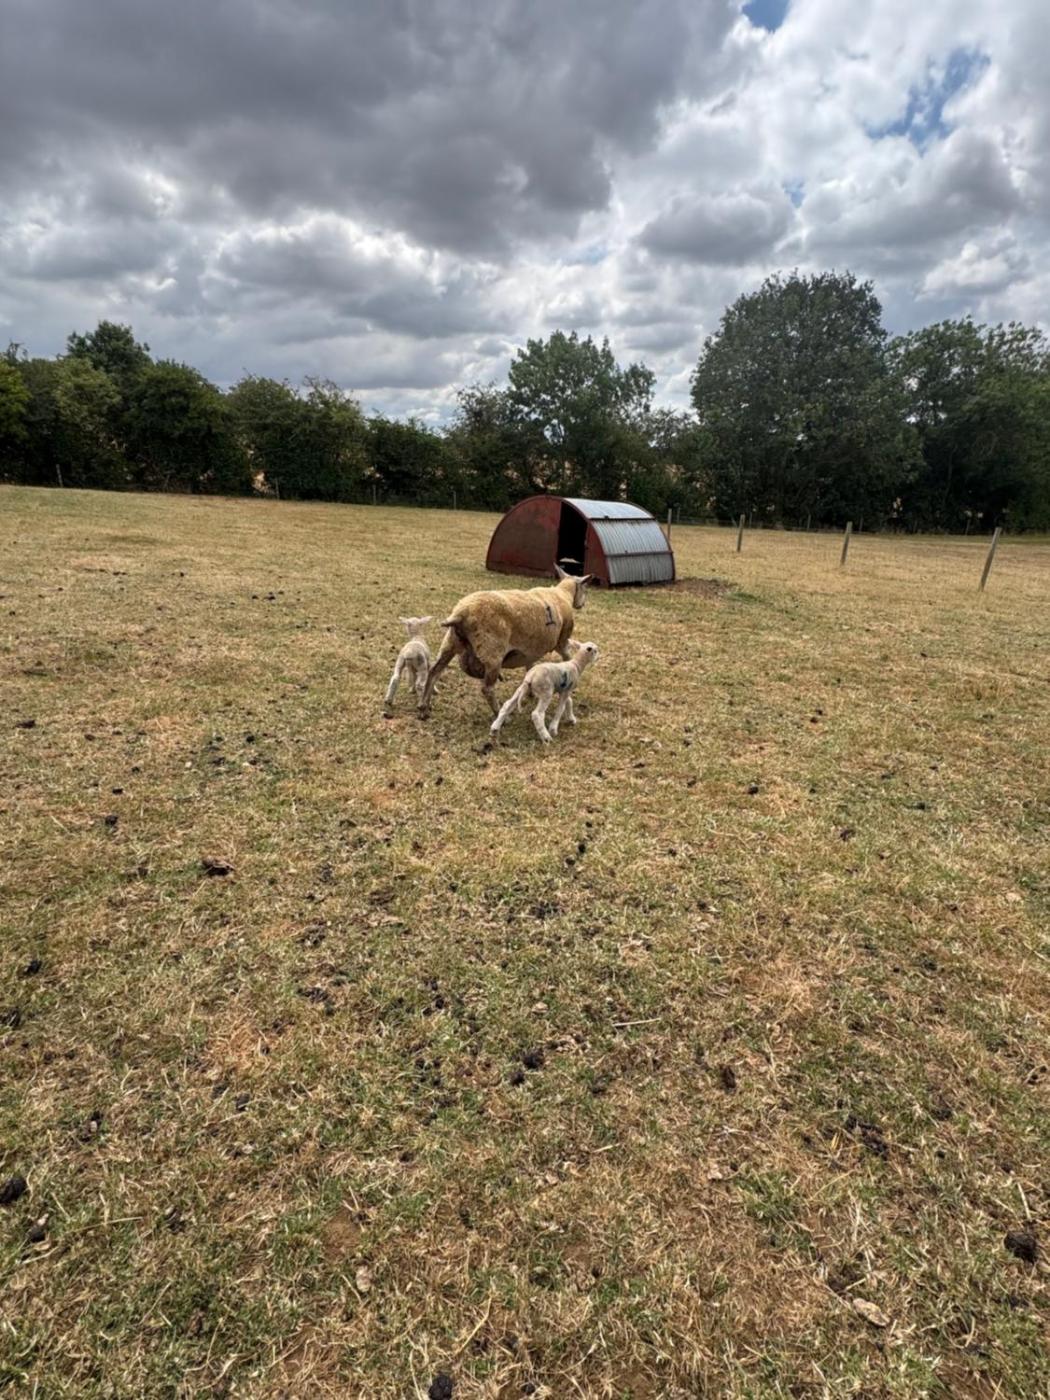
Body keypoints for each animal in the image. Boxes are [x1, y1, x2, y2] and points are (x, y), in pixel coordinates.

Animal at [418, 566, 593, 719]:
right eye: (585, 588)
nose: (582, 604)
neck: (563, 594)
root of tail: (461, 614)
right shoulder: (562, 642)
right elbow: (568, 658)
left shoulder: (531, 650)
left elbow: (530, 667)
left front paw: (530, 692)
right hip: (492, 653)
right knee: (487, 689)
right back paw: (499, 713)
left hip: (450, 644)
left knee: (434, 672)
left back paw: (423, 707)